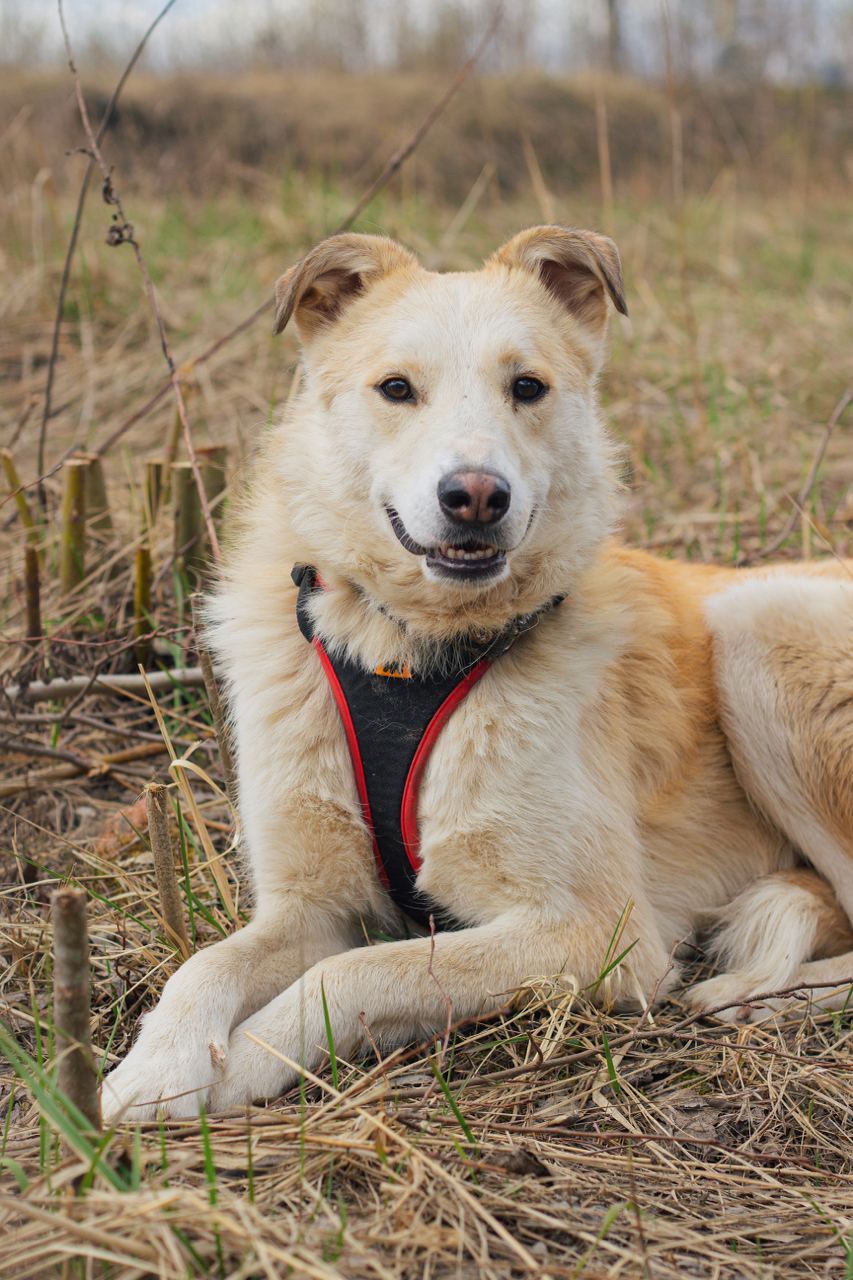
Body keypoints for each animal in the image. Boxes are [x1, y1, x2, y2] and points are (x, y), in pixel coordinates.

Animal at [104, 227, 850, 1121]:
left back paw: (753, 996)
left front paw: (250, 1058)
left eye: (526, 387)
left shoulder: (596, 934)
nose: (474, 496)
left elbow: (358, 971)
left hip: (757, 625)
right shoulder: (311, 906)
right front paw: (159, 1063)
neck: (408, 650)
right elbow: (210, 962)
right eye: (396, 389)